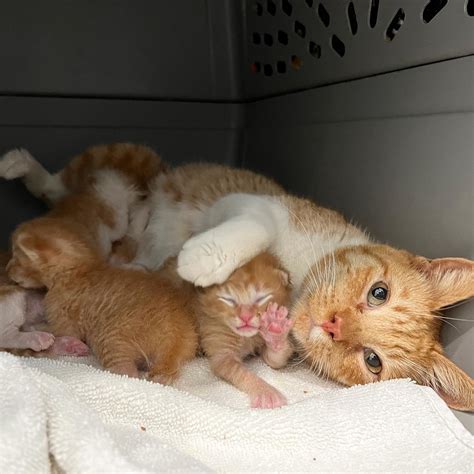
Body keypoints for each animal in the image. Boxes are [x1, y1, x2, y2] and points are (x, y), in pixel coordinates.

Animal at [195, 254, 292, 410]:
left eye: (261, 298)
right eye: (228, 299)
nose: (245, 317)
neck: (246, 338)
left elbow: (275, 359)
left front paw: (275, 330)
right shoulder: (219, 347)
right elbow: (241, 372)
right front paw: (266, 392)